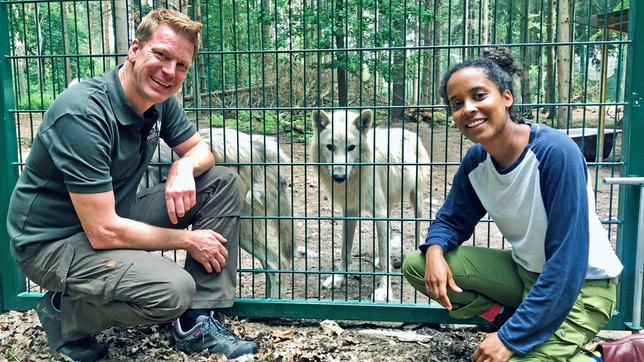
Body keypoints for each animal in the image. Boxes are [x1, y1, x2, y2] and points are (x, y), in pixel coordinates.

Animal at [310, 109, 430, 302]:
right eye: (330, 146)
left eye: (351, 147)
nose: (339, 177)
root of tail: (410, 132)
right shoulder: (350, 211)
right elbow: (345, 251)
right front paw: (338, 278)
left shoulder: (379, 213)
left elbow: (383, 256)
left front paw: (384, 291)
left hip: (416, 200)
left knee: (419, 230)